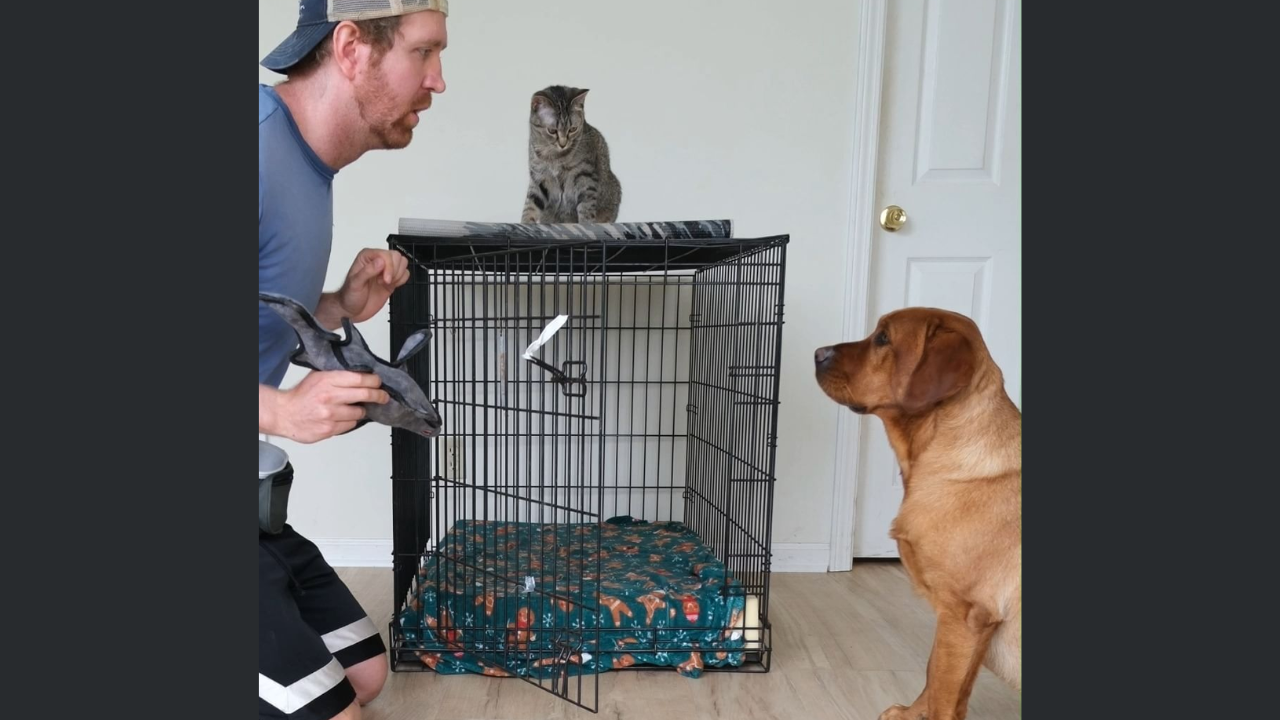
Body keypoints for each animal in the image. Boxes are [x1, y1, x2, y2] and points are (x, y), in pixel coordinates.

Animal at [519, 85, 619, 222]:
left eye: (572, 129)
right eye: (552, 131)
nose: (563, 143)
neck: (554, 157)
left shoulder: (586, 176)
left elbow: (586, 207)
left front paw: (585, 224)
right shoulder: (539, 178)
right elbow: (530, 205)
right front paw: (526, 222)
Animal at [819, 304, 1018, 712]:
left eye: (883, 338)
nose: (816, 354)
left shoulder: (966, 614)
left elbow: (943, 691)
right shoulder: (962, 623)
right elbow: (934, 676)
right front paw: (911, 714)